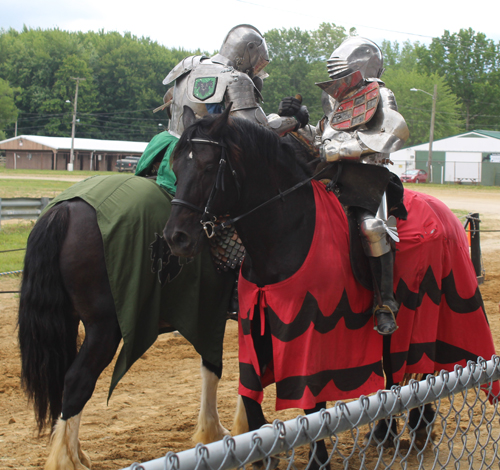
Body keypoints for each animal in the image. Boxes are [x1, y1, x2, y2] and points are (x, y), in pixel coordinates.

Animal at [20, 175, 235, 470]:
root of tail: (66, 209)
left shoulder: (212, 315)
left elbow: (213, 367)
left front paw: (212, 431)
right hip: (104, 330)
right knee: (76, 381)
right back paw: (67, 459)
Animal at [164, 108, 496, 468]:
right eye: (175, 166)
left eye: (209, 166)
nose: (176, 238)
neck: (288, 230)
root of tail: (446, 212)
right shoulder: (255, 325)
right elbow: (249, 396)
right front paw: (261, 455)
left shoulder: (313, 334)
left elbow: (313, 406)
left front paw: (318, 458)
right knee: (395, 375)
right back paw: (389, 431)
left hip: (425, 311)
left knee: (417, 366)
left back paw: (417, 426)